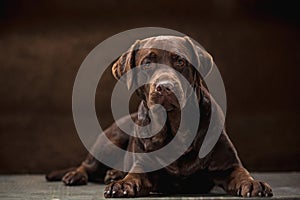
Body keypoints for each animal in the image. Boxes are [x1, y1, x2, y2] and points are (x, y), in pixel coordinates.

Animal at [45, 35, 274, 198]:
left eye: (180, 61)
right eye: (147, 63)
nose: (165, 86)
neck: (176, 127)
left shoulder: (227, 166)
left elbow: (241, 172)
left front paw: (254, 183)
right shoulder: (143, 166)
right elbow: (134, 175)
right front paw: (122, 183)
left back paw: (113, 173)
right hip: (110, 140)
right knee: (87, 165)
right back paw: (78, 175)